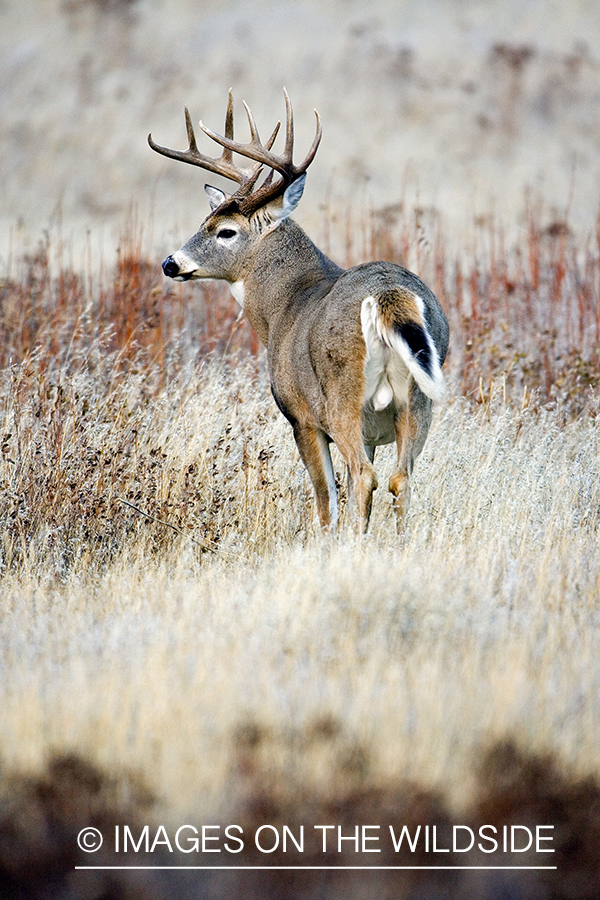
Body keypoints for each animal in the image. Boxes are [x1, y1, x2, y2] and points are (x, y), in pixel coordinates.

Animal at [150, 90, 448, 532]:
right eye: (205, 221)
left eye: (225, 231)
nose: (171, 263)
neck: (282, 308)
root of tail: (388, 294)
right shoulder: (372, 432)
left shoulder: (301, 417)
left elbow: (326, 502)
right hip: (418, 400)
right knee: (400, 478)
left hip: (343, 396)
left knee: (364, 477)